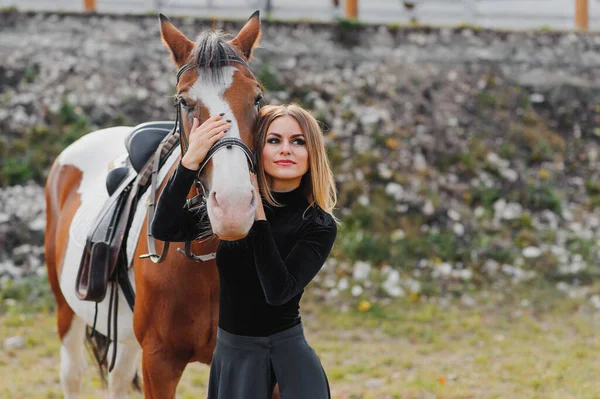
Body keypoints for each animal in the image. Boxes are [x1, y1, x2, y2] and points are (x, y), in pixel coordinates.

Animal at [44, 10, 276, 398]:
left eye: (257, 98)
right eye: (184, 102)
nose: (232, 207)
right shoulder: (159, 362)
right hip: (66, 309)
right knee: (72, 374)